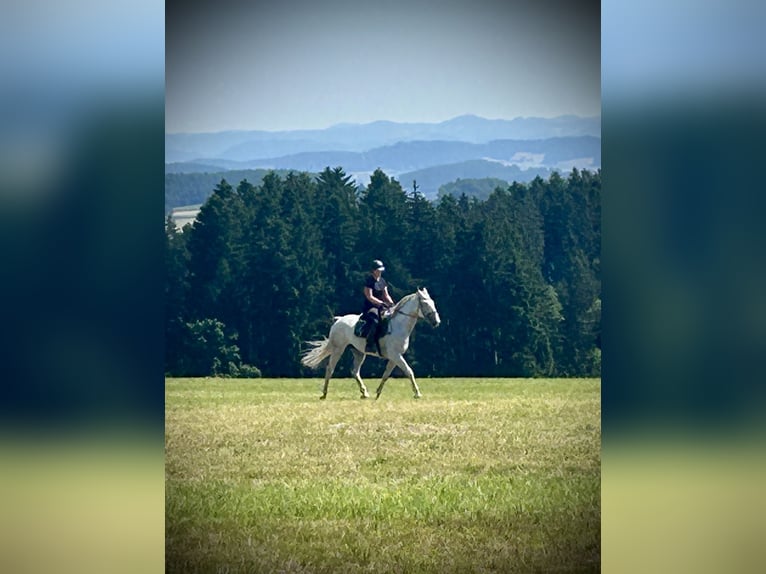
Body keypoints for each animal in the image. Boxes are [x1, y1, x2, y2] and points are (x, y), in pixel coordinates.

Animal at [302, 288, 440, 400]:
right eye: (425, 303)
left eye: (433, 302)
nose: (436, 322)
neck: (398, 325)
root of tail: (338, 320)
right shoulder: (395, 355)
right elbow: (409, 371)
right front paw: (417, 393)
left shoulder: (394, 357)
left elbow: (386, 374)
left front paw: (378, 393)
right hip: (338, 349)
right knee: (330, 369)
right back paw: (324, 394)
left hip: (359, 352)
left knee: (355, 371)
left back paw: (364, 393)